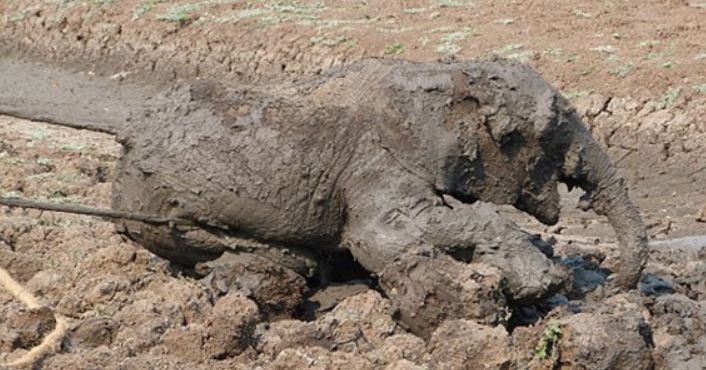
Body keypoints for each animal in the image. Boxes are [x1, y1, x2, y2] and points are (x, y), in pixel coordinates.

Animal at [0, 56, 644, 336]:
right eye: (548, 133)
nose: (613, 286)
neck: (443, 77)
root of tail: (127, 141)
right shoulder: (374, 165)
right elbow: (386, 235)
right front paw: (541, 282)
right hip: (162, 204)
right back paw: (281, 270)